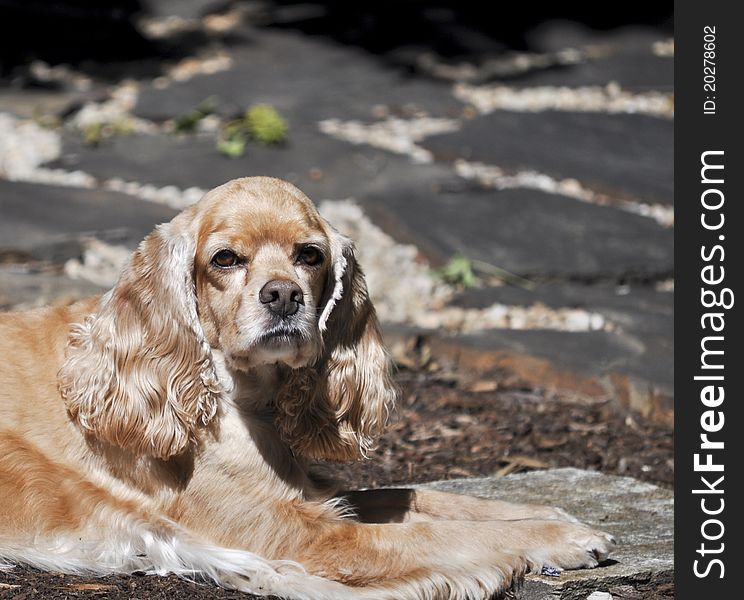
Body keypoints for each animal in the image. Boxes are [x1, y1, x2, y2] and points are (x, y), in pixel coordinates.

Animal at [0, 176, 612, 596]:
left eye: (310, 255)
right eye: (225, 259)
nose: (284, 295)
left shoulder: (309, 494)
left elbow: (428, 499)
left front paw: (548, 514)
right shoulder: (292, 531)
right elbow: (436, 537)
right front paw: (560, 538)